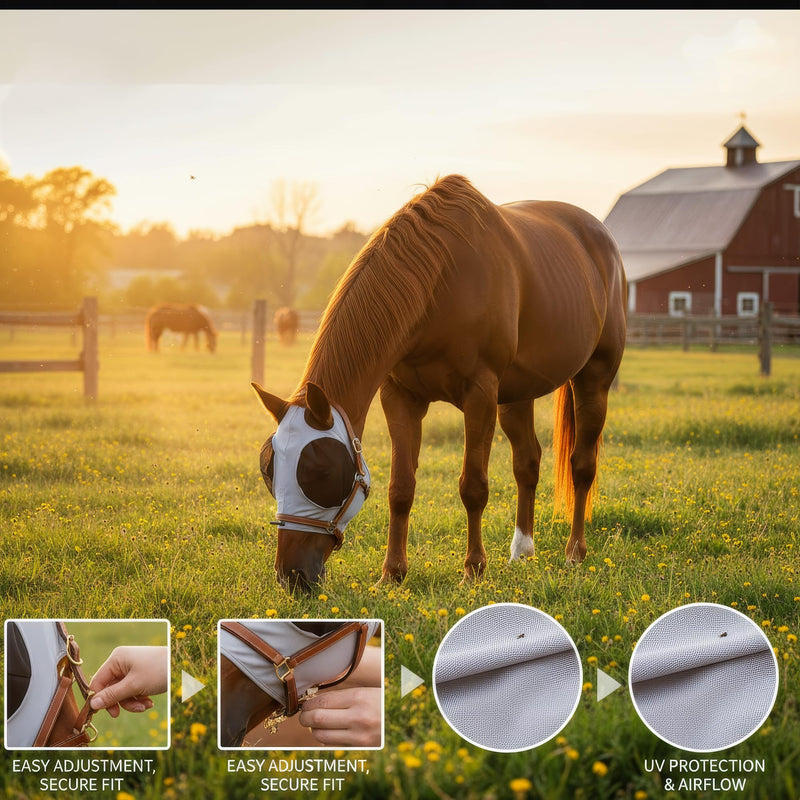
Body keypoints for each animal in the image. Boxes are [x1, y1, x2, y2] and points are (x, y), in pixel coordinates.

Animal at [252, 174, 627, 593]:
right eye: (269, 472)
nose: (291, 575)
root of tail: (599, 235)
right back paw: (522, 551)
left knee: (582, 464)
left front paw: (474, 569)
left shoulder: (480, 396)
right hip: (516, 395)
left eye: (321, 472)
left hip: (593, 378)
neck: (440, 285)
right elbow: (401, 488)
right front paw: (393, 573)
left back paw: (574, 553)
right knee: (527, 462)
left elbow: (473, 487)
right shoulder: (400, 397)